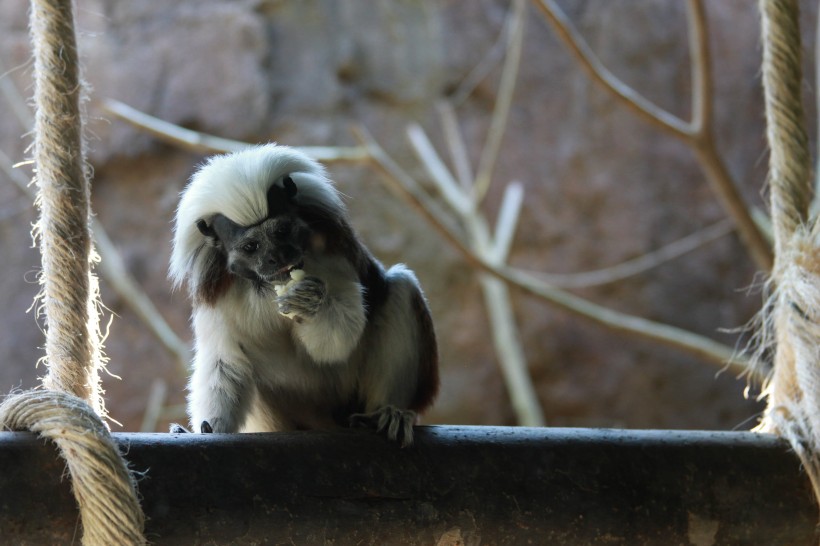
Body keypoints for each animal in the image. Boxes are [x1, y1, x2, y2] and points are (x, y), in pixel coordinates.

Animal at [170, 142, 438, 444]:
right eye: (251, 247)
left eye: (282, 231)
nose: (277, 256)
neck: (268, 287)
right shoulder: (216, 292)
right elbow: (226, 361)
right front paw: (208, 427)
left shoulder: (333, 255)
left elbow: (338, 341)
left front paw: (310, 304)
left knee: (401, 287)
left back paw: (387, 414)